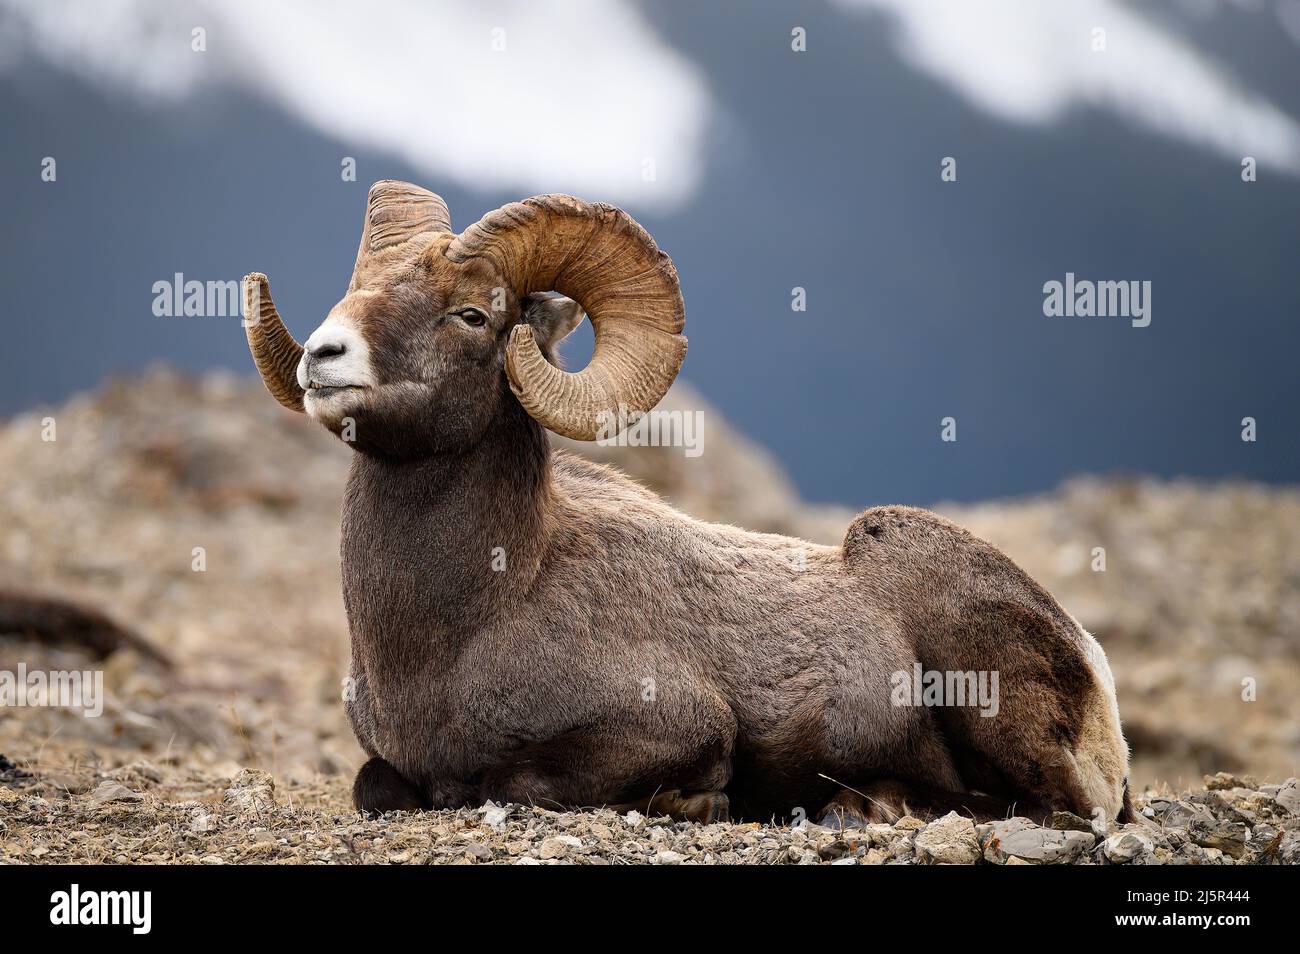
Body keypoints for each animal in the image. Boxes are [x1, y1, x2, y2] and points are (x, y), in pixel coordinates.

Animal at [241, 180, 1128, 831]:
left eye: (472, 314)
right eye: (355, 292)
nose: (325, 356)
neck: (468, 621)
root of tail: (1088, 660)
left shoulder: (670, 727)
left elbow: (509, 781)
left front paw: (700, 801)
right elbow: (375, 786)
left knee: (1051, 811)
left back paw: (861, 806)